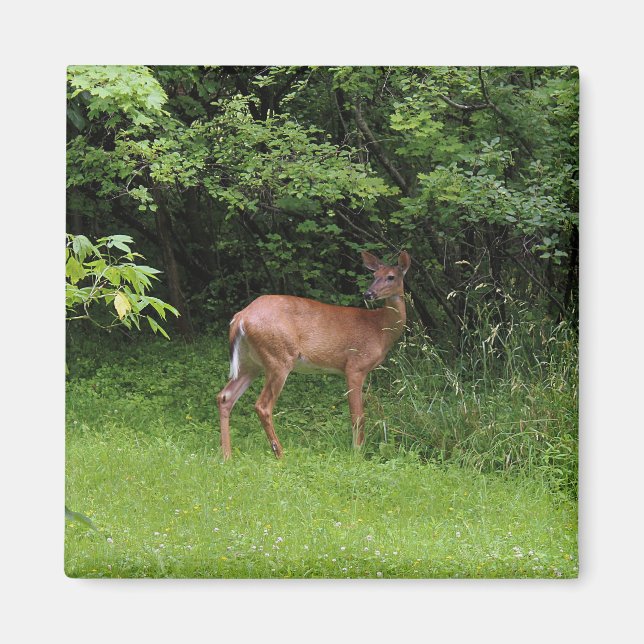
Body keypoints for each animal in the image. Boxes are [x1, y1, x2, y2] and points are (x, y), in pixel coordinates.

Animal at [216, 250, 411, 460]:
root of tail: (240, 318)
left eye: (390, 276)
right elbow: (358, 415)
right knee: (262, 405)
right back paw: (280, 454)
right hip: (279, 357)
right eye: (374, 275)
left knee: (225, 397)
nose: (368, 293)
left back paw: (227, 456)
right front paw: (357, 452)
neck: (381, 329)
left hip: (250, 362)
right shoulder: (355, 366)